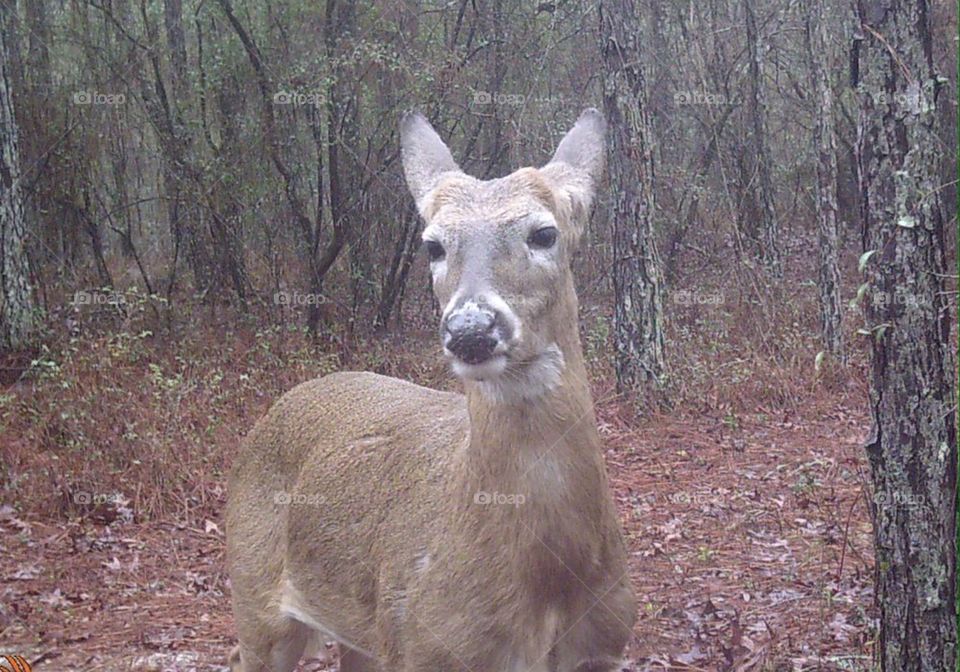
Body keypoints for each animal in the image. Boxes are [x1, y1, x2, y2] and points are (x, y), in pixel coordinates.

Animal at [226, 108, 637, 672]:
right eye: (433, 244)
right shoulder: (425, 646)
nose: (470, 329)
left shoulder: (602, 650)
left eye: (545, 233)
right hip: (255, 596)